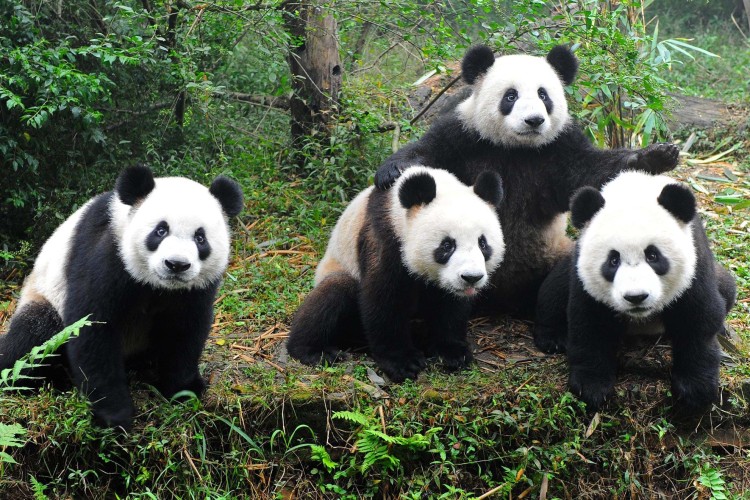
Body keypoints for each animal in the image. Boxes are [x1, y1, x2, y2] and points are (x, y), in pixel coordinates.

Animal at [0, 166, 243, 429]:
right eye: (160, 230)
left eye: (200, 238)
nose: (176, 265)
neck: (158, 285)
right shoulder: (107, 253)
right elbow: (92, 328)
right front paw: (114, 415)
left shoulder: (195, 289)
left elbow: (185, 330)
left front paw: (185, 391)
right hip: (44, 295)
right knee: (33, 338)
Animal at [287, 166, 505, 382]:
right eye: (447, 245)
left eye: (483, 243)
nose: (471, 277)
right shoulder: (385, 236)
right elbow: (384, 299)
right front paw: (403, 363)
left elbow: (450, 306)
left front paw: (452, 352)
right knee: (334, 292)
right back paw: (313, 350)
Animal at [374, 44, 680, 316]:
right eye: (511, 96)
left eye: (543, 95)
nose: (534, 120)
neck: (516, 148)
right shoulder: (464, 136)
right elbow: (429, 152)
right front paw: (391, 171)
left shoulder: (559, 148)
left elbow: (591, 172)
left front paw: (657, 156)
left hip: (553, 253)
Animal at [534, 171, 736, 414]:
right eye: (613, 260)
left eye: (653, 255)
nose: (636, 297)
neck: (634, 190)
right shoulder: (584, 275)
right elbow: (589, 323)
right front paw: (591, 387)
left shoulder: (695, 263)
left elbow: (699, 318)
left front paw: (695, 389)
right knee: (554, 290)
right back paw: (553, 338)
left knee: (727, 288)